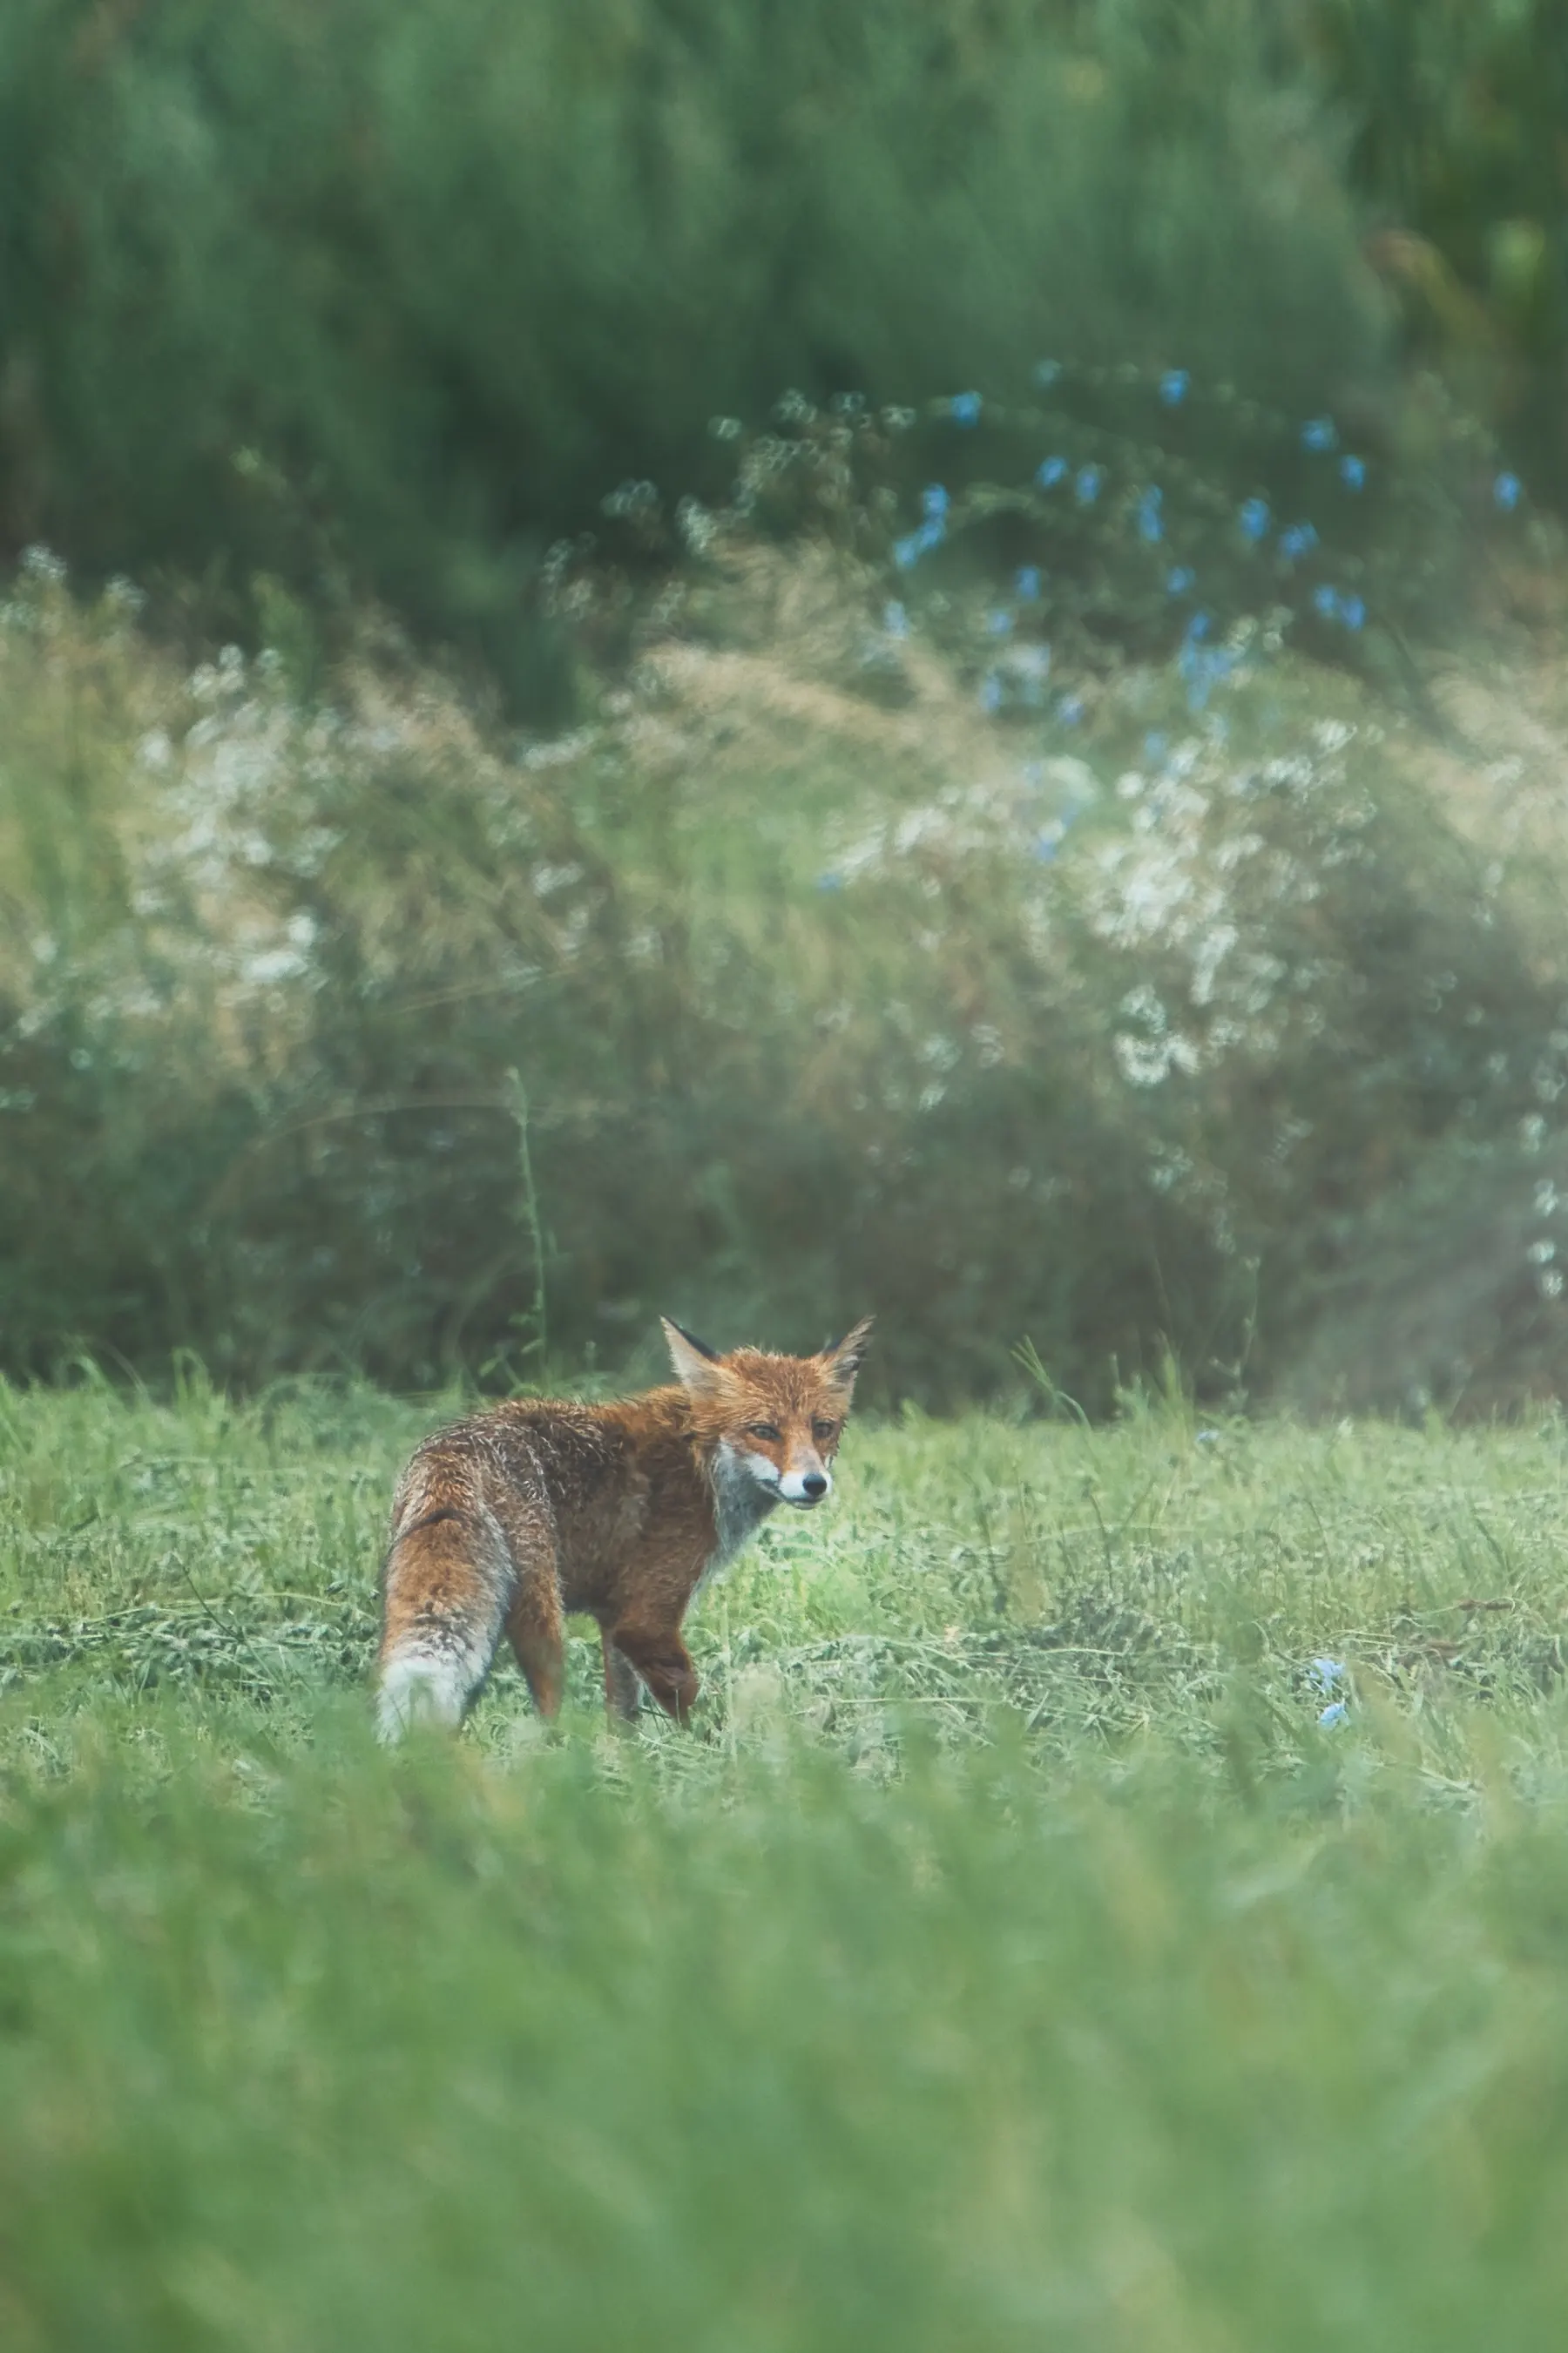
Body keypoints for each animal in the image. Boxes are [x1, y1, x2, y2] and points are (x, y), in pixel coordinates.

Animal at [375, 1316, 871, 1741]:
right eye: (764, 1430)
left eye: (822, 1428)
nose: (814, 1483)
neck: (702, 1466)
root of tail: (454, 1449)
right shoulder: (645, 1618)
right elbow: (686, 1702)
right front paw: (707, 1756)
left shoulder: (614, 1617)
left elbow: (623, 1714)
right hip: (543, 1620)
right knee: (548, 1714)